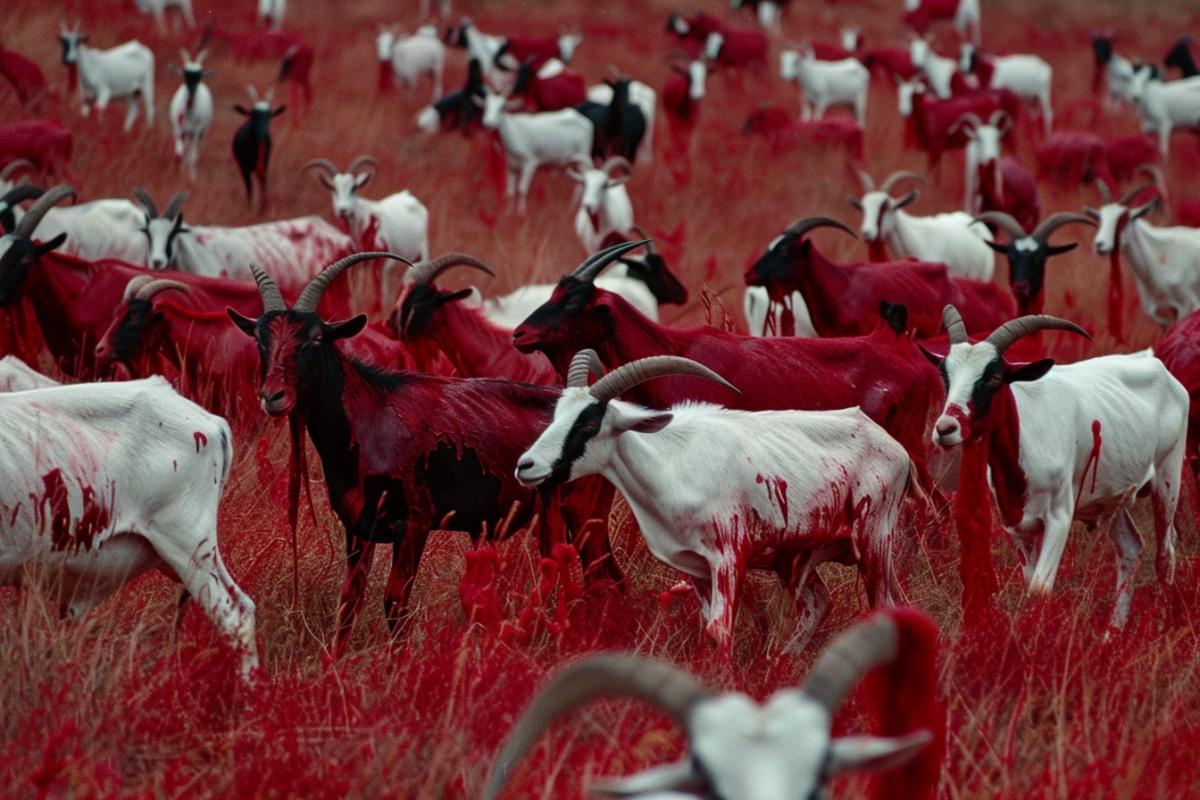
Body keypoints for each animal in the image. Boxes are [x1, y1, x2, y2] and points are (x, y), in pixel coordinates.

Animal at [926, 306, 1187, 629]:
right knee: (1130, 547)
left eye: (993, 377)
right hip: (1115, 495)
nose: (945, 428)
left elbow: (1040, 589)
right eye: (945, 374)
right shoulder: (1018, 527)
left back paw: (1160, 622)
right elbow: (1030, 585)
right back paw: (1113, 631)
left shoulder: (1059, 518)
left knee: (1165, 555)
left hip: (1168, 478)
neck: (1026, 439)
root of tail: (1156, 365)